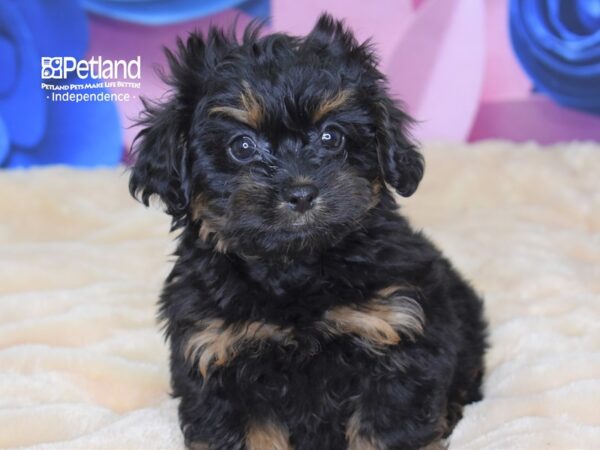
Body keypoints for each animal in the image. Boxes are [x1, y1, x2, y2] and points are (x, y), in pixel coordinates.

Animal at [130, 14, 488, 450]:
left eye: (331, 136)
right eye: (242, 146)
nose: (301, 193)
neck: (295, 268)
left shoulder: (395, 339)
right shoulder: (218, 355)